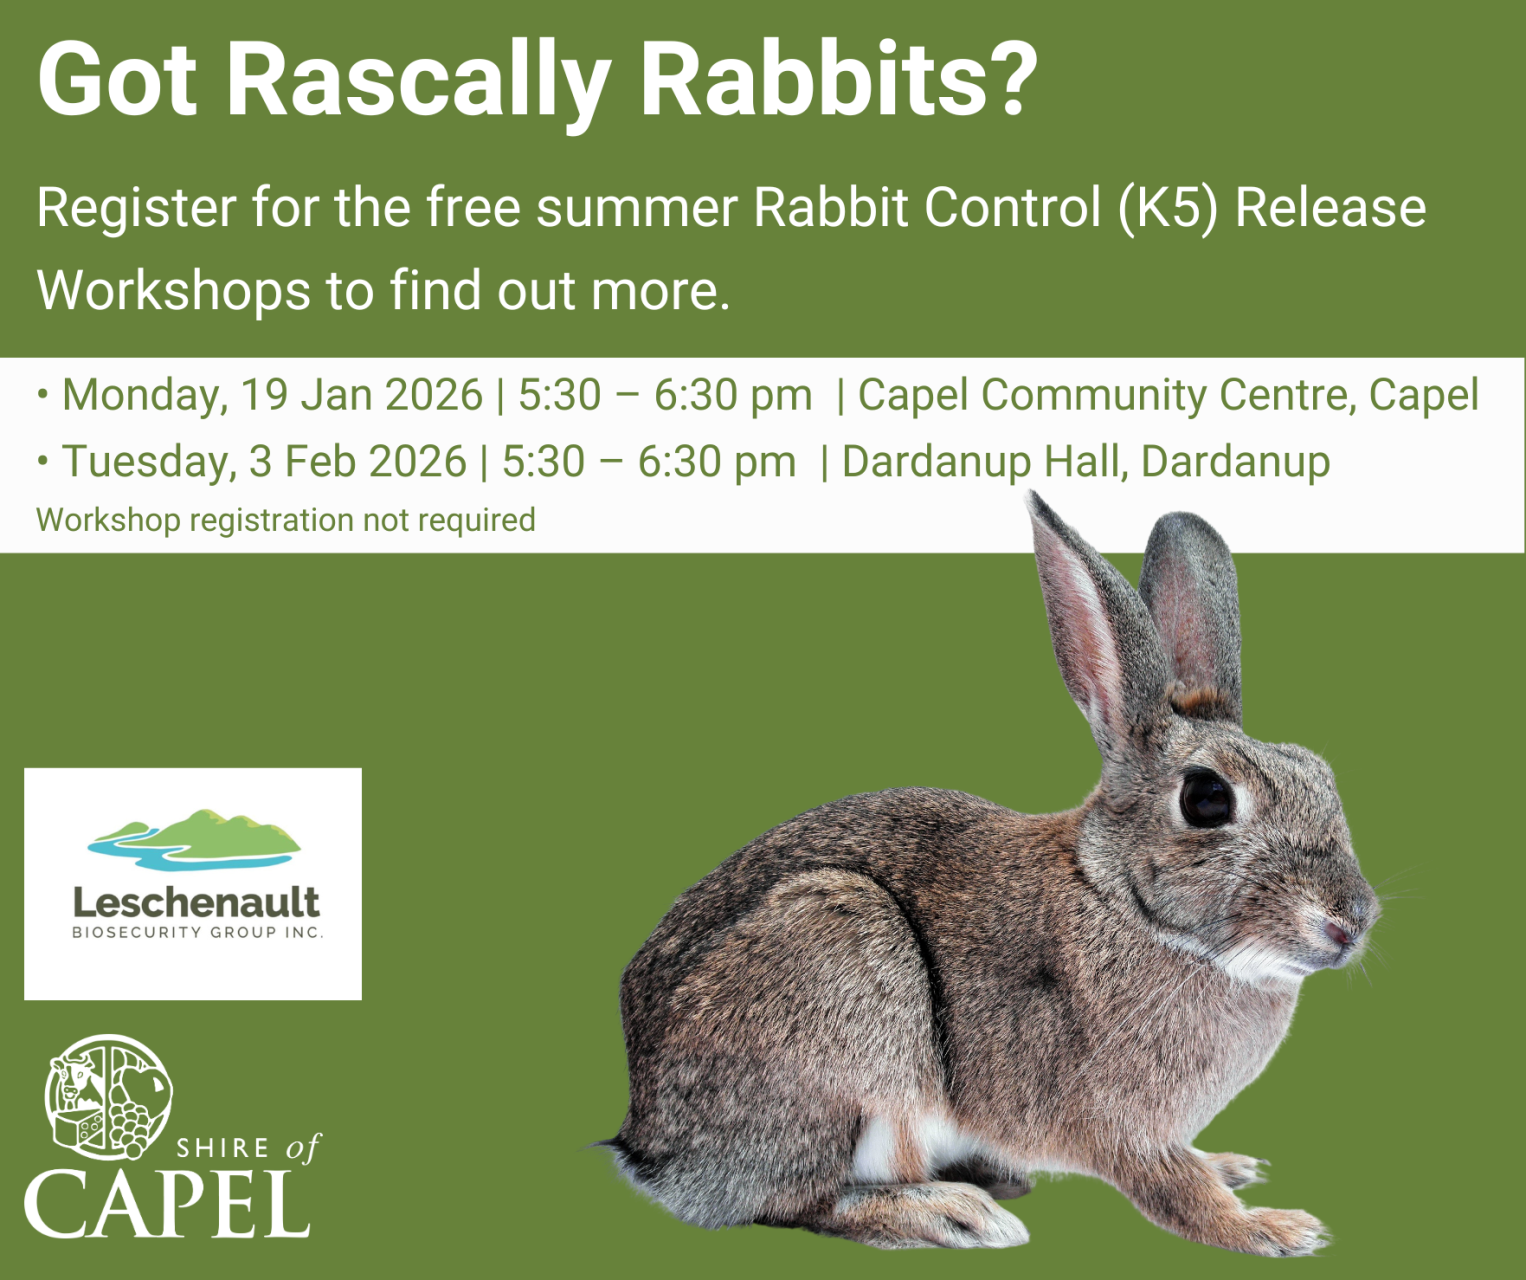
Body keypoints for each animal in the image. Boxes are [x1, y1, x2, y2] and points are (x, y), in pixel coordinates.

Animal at [605, 492, 1378, 1255]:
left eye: (1321, 774)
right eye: (1207, 799)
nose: (1351, 922)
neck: (1123, 904)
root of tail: (652, 1147)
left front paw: (1232, 1167)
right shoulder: (1122, 1126)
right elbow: (1177, 1193)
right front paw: (1274, 1228)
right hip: (841, 976)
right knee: (803, 1201)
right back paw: (953, 1214)